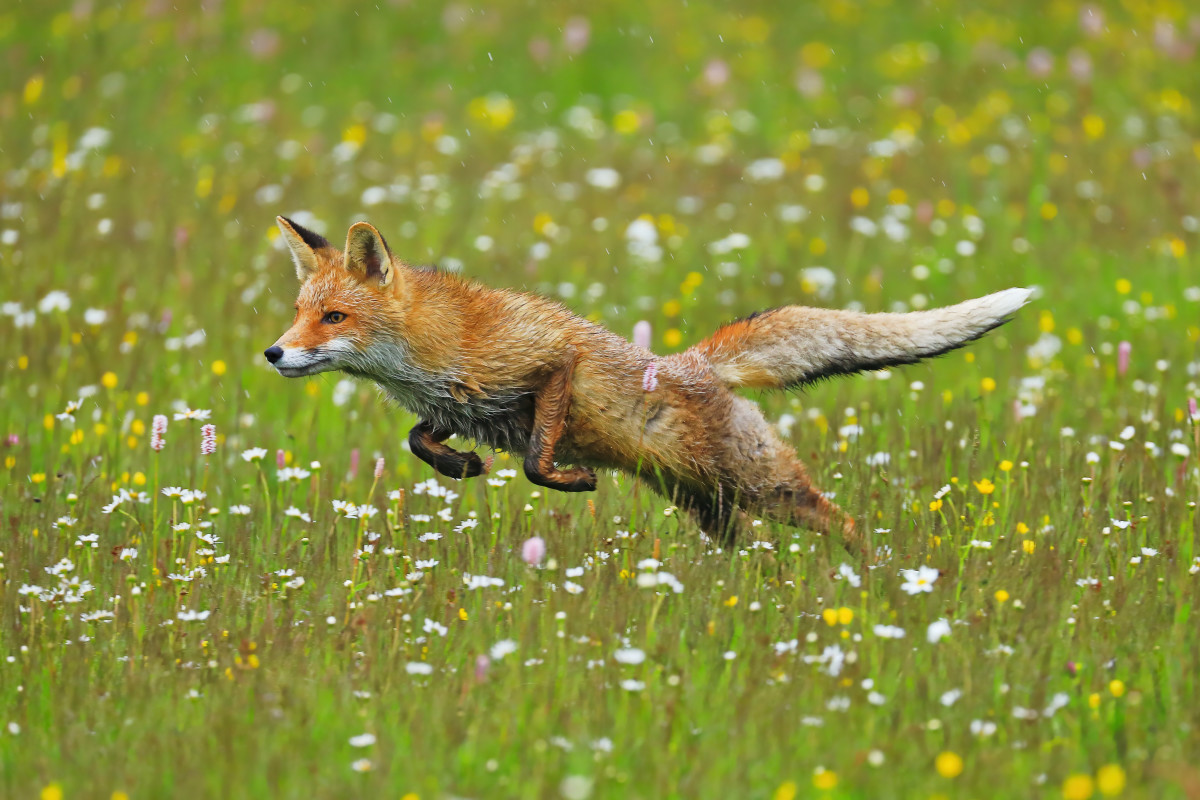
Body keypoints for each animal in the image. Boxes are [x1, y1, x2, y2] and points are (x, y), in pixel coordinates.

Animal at [265, 215, 1031, 554]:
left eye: (334, 318)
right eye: (300, 311)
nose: (273, 353)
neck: (435, 348)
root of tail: (696, 363)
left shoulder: (550, 363)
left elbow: (538, 460)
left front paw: (571, 479)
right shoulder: (457, 404)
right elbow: (419, 440)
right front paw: (459, 466)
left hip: (763, 486)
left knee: (842, 520)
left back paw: (876, 580)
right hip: (709, 505)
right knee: (749, 547)